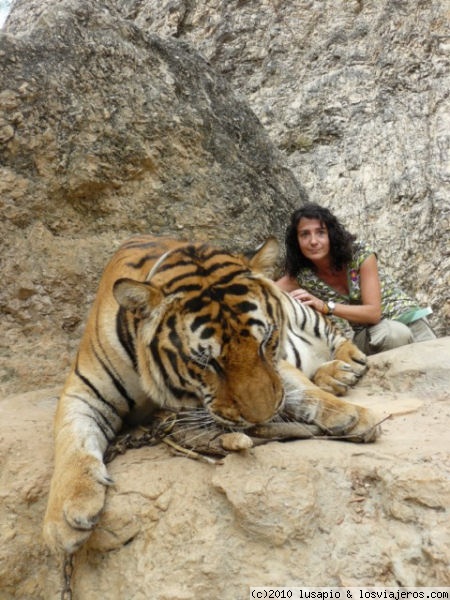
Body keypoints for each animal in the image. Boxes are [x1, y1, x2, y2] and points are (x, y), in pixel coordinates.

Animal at [43, 233, 380, 552]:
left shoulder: (277, 369)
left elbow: (300, 389)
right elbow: (71, 438)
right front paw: (65, 516)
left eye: (265, 340)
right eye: (207, 361)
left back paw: (349, 362)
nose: (263, 418)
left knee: (333, 330)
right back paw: (333, 374)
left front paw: (354, 416)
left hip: (300, 307)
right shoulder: (84, 389)